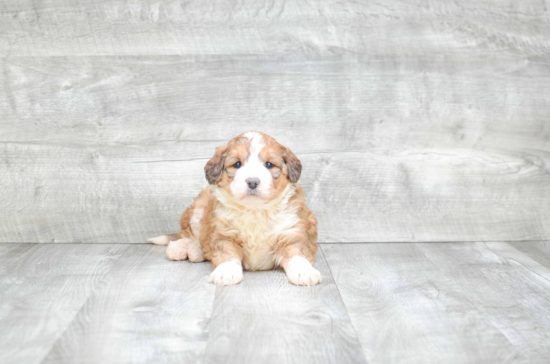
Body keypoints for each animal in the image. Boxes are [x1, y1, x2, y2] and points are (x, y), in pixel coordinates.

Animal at [150, 132, 324, 288]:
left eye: (268, 165)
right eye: (237, 164)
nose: (252, 182)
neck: (255, 210)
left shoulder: (291, 233)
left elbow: (298, 254)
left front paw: (304, 272)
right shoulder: (224, 234)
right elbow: (227, 253)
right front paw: (226, 272)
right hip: (198, 209)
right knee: (189, 235)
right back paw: (183, 249)